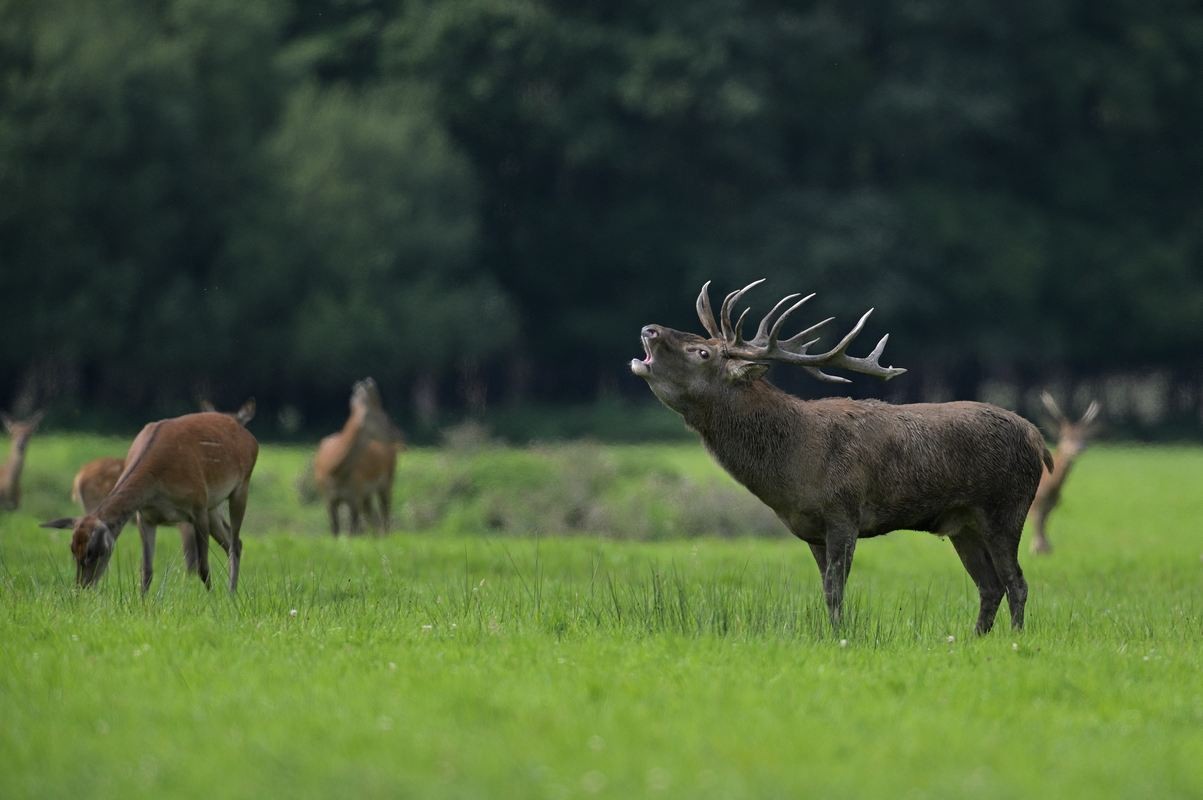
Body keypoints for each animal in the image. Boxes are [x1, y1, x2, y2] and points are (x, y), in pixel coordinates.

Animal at [41, 413, 256, 589]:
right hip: (213, 506)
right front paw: (143, 606)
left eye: (94, 551)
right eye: (72, 550)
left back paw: (231, 594)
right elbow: (146, 571)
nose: (82, 587)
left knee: (234, 543)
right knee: (233, 541)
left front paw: (211, 601)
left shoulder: (198, 506)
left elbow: (202, 567)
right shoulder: (145, 517)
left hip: (240, 487)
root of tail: (251, 439)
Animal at [312, 380, 401, 536]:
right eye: (383, 416)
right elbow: (335, 531)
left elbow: (352, 532)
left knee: (385, 515)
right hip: (367, 494)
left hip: (387, 480)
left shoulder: (354, 496)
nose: (400, 436)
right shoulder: (329, 499)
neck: (334, 471)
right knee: (373, 517)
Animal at [635, 277, 1049, 635]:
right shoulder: (811, 530)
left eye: (702, 351)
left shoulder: (843, 513)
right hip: (963, 523)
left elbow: (836, 591)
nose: (649, 329)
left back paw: (1015, 639)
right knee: (990, 585)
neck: (795, 463)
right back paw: (973, 639)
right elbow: (825, 590)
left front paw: (839, 636)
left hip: (1006, 509)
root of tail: (1037, 437)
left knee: (1016, 582)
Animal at [1024, 389, 1101, 553]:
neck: (1050, 488)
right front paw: (1036, 549)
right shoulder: (1035, 502)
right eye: (1064, 436)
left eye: (1083, 437)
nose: (1078, 449)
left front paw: (1045, 548)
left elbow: (1045, 523)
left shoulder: (1053, 504)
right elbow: (1037, 523)